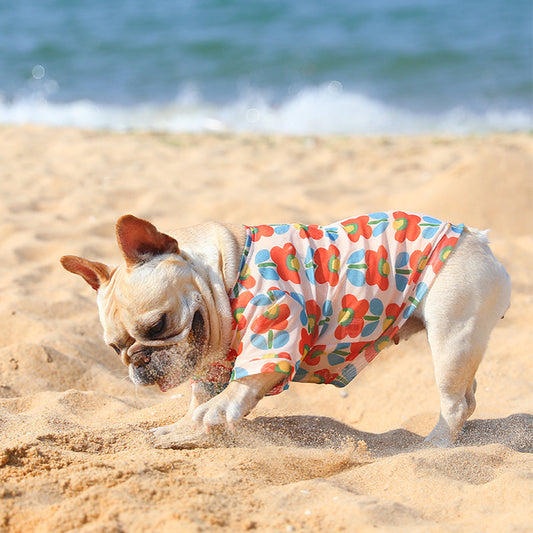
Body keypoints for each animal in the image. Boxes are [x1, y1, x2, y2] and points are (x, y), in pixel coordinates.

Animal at [62, 210, 512, 446]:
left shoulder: (274, 330)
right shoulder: (212, 366)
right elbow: (197, 401)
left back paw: (432, 447)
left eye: (158, 324)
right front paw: (183, 429)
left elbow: (243, 384)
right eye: (114, 348)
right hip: (462, 342)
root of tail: (479, 239)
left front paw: (215, 411)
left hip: (452, 336)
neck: (224, 271)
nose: (138, 361)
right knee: (468, 395)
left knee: (454, 403)